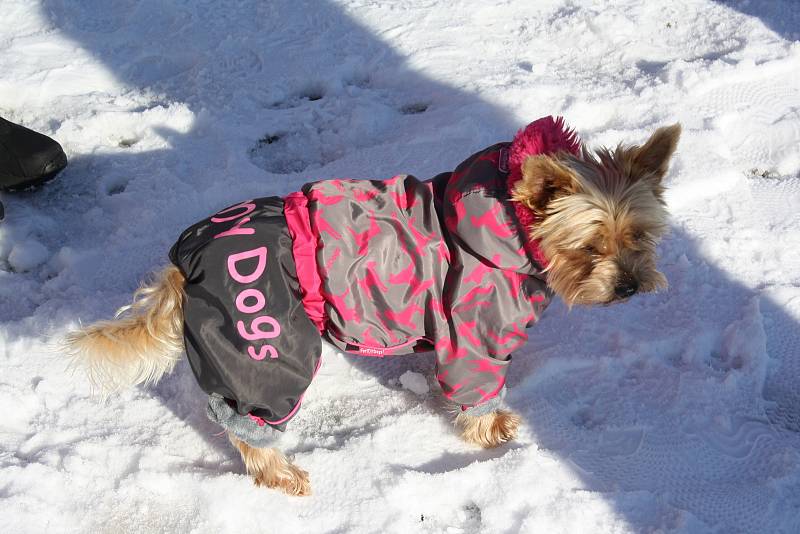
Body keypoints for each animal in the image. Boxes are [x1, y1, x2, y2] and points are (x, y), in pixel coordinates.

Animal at [67, 117, 680, 498]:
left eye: (639, 237)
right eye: (589, 247)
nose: (631, 286)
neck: (511, 230)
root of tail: (184, 269)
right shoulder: (472, 334)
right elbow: (476, 387)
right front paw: (492, 429)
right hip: (266, 341)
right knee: (247, 421)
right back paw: (282, 475)